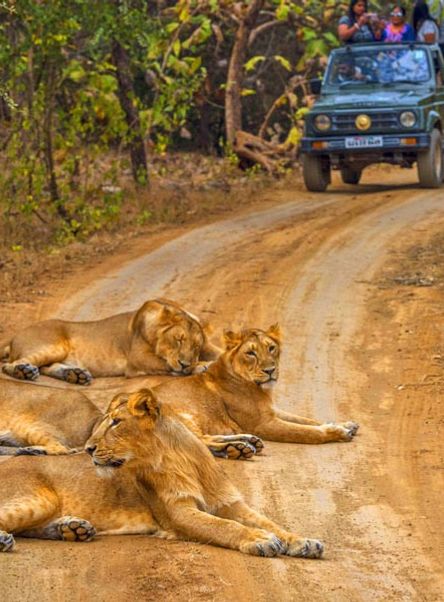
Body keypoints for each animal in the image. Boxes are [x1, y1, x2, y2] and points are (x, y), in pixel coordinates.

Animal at [0, 386, 326, 556]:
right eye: (104, 422)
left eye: (116, 422)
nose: (89, 448)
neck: (182, 461)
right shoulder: (178, 513)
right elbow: (224, 527)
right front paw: (259, 540)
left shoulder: (231, 503)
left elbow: (272, 523)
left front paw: (302, 542)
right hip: (37, 499)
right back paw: (9, 540)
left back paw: (72, 529)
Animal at [1, 296, 220, 384]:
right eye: (178, 339)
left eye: (196, 346)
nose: (185, 362)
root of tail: (14, 336)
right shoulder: (137, 359)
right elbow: (168, 365)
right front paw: (201, 366)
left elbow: (220, 352)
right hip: (53, 346)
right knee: (9, 365)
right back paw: (25, 371)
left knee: (48, 367)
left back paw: (76, 375)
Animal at [147, 324, 360, 460]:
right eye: (251, 353)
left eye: (271, 348)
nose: (270, 370)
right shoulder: (263, 424)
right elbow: (306, 432)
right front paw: (338, 432)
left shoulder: (272, 411)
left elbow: (308, 420)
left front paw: (345, 424)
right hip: (181, 416)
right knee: (199, 442)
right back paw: (237, 449)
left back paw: (246, 444)